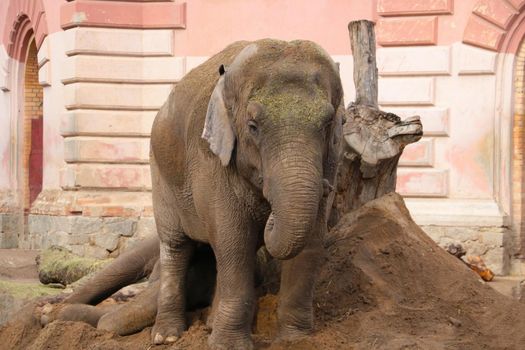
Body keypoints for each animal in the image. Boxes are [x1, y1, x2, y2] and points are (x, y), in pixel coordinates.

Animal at [147, 38, 344, 348]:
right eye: (253, 127)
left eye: (327, 125)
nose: (269, 216)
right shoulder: (213, 162)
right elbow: (234, 240)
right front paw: (228, 345)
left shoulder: (333, 159)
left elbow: (312, 239)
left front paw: (295, 340)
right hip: (160, 174)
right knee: (175, 246)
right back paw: (166, 336)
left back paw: (210, 323)